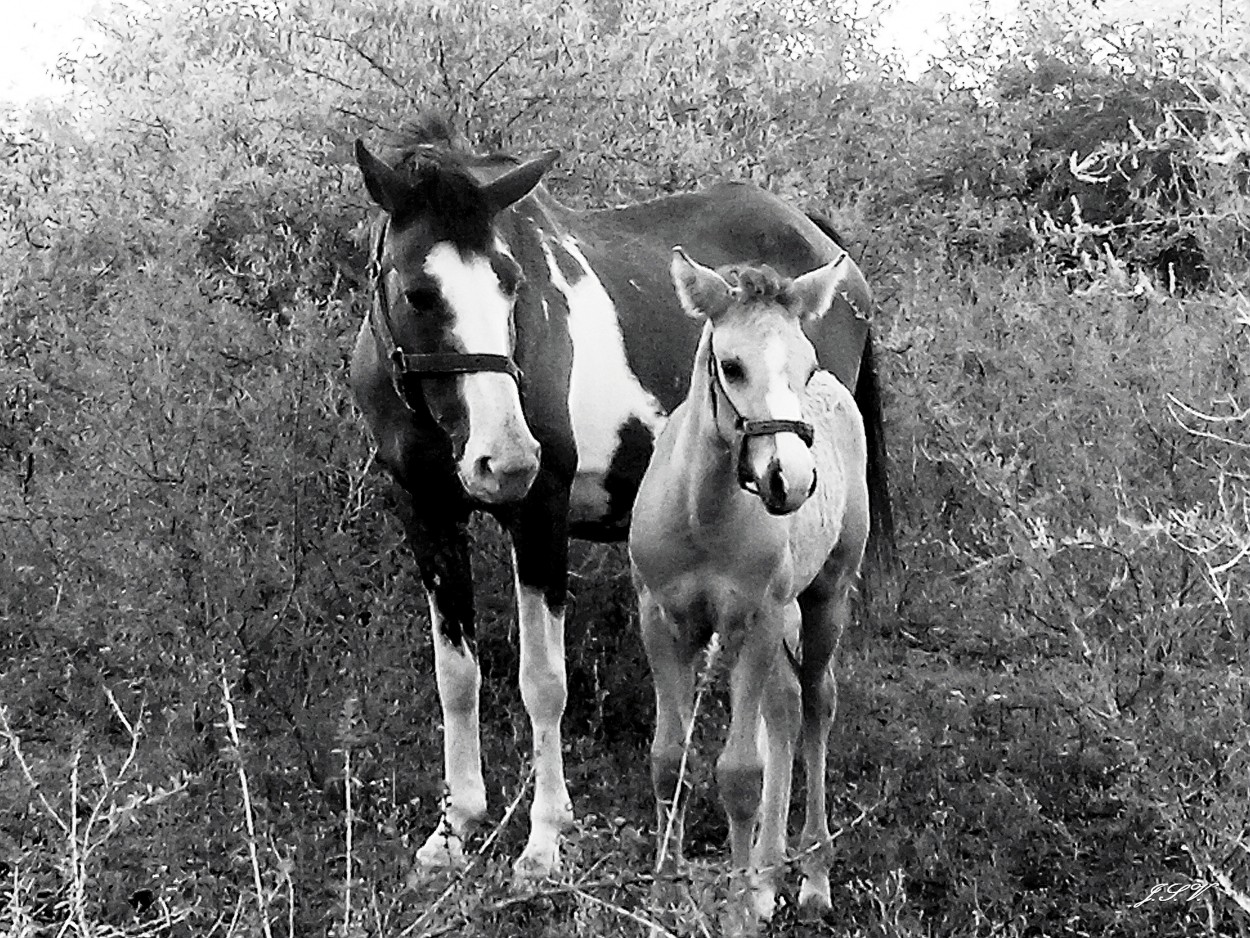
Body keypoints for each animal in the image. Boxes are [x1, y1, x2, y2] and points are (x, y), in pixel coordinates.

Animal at [350, 119, 890, 880]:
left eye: (512, 283)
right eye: (421, 292)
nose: (506, 460)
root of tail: (820, 245)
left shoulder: (539, 516)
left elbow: (544, 681)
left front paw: (545, 839)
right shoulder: (426, 515)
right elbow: (457, 675)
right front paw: (455, 829)